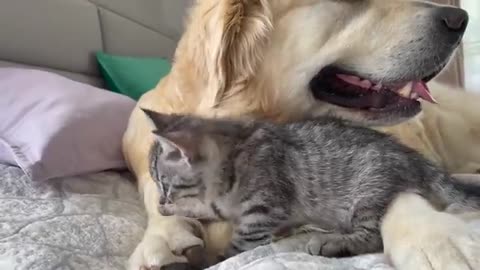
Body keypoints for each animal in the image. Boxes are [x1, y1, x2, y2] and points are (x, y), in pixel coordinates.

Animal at [142, 108, 480, 260]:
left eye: (165, 183)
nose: (161, 201)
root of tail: (412, 156)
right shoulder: (222, 207)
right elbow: (203, 209)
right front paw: (174, 214)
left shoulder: (262, 213)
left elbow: (237, 248)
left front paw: (213, 259)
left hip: (369, 188)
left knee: (372, 235)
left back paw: (332, 242)